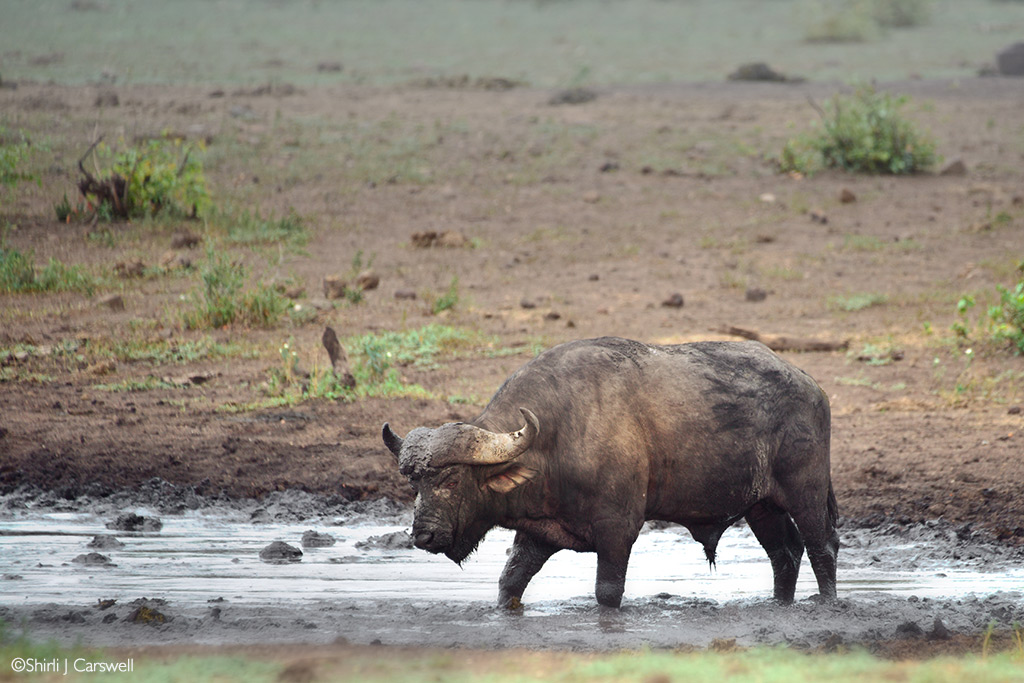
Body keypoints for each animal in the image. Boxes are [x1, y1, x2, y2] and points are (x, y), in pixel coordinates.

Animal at [380, 335, 835, 610]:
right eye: (413, 482)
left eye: (452, 480)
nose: (424, 536)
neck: (555, 437)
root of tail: (812, 387)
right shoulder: (538, 533)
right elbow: (510, 583)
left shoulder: (618, 530)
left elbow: (607, 592)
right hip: (762, 506)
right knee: (786, 553)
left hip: (806, 492)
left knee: (821, 547)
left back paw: (828, 603)